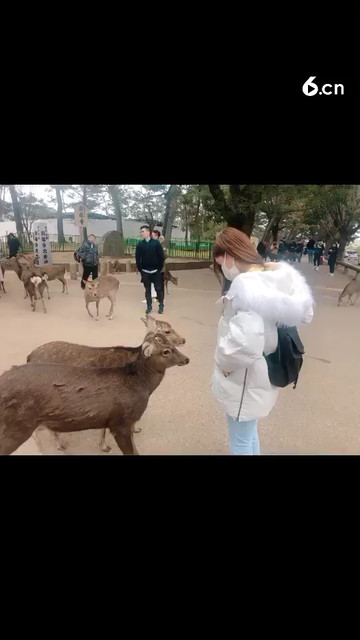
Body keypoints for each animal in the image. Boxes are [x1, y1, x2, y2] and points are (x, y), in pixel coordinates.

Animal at [0, 324, 190, 456]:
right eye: (166, 350)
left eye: (170, 341)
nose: (186, 358)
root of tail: (29, 356)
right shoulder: (119, 421)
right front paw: (104, 446)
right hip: (17, 427)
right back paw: (60, 444)